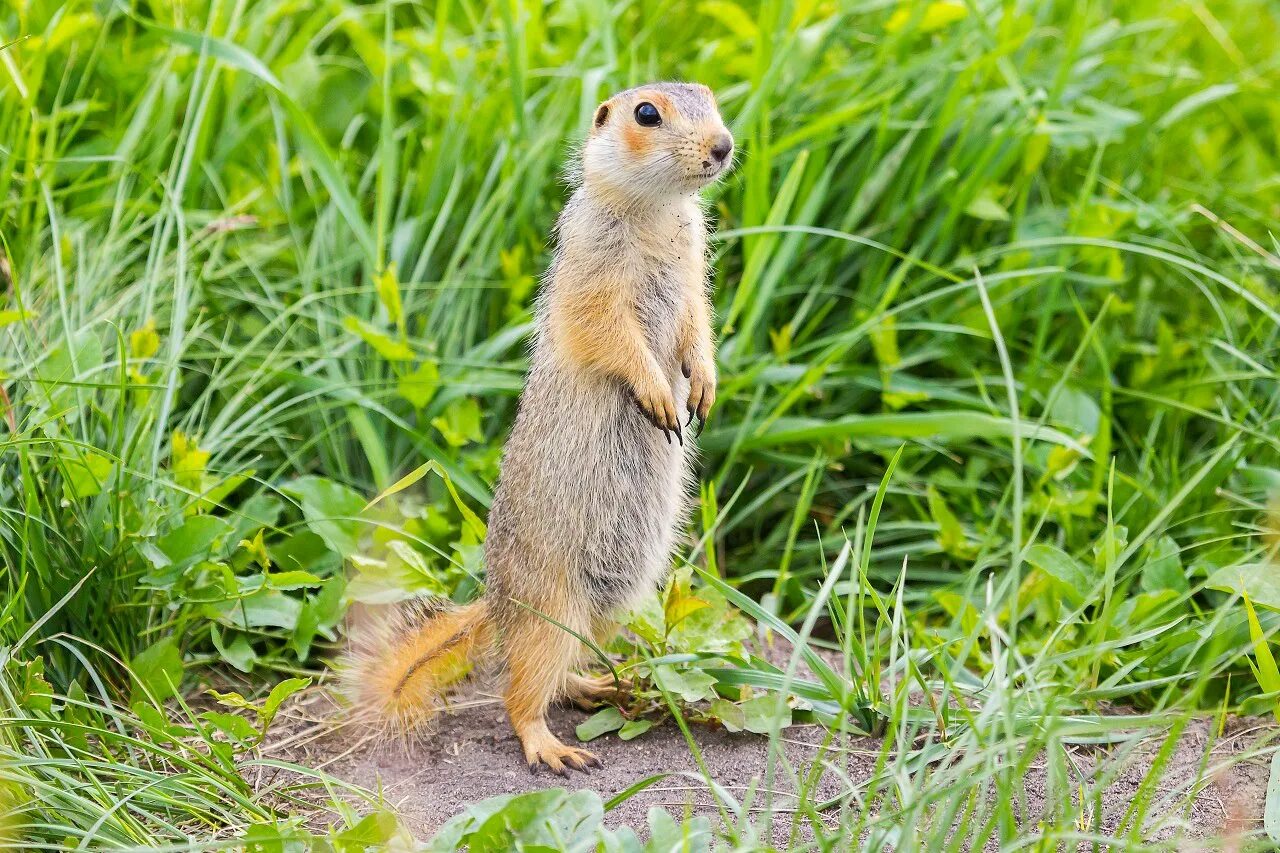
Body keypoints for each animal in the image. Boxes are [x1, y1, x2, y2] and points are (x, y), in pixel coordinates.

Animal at [345, 83, 737, 773]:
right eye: (646, 113)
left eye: (710, 97)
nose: (723, 145)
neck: (658, 212)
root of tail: (497, 605)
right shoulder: (591, 269)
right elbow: (605, 328)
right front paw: (659, 394)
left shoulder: (694, 272)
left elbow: (697, 322)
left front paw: (703, 386)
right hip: (550, 610)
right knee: (519, 691)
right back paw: (553, 748)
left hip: (610, 606)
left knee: (563, 670)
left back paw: (599, 686)